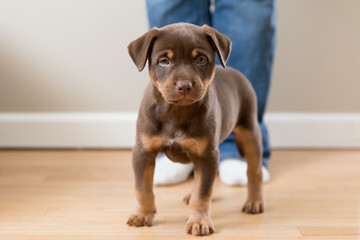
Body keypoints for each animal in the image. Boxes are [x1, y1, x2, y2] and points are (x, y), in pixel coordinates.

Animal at [126, 23, 264, 236]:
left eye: (201, 60)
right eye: (164, 61)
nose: (184, 86)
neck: (176, 111)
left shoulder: (206, 155)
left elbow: (202, 193)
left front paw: (199, 221)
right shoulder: (143, 151)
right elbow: (143, 188)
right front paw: (143, 214)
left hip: (249, 130)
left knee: (253, 171)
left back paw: (254, 201)